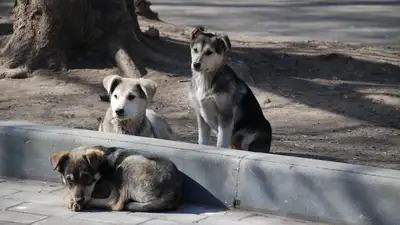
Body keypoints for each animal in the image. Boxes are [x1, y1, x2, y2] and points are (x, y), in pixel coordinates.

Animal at [48, 145, 184, 212]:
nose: (79, 200)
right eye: (69, 180)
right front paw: (72, 200)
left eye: (87, 177)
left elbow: (65, 195)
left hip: (128, 163)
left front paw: (72, 201)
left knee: (116, 203)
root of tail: (172, 191)